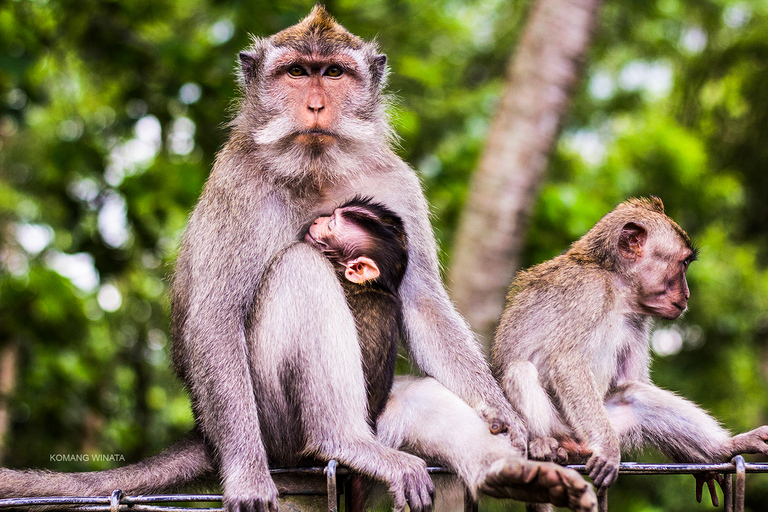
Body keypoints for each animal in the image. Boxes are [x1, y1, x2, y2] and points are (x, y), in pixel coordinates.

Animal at [492, 198, 768, 506]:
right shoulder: (589, 292)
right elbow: (566, 364)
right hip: (569, 425)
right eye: (683, 263)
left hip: (597, 426)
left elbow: (629, 381)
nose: (687, 295)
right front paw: (609, 449)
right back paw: (544, 442)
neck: (617, 286)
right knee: (519, 370)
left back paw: (725, 447)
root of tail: (576, 441)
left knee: (635, 395)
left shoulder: (638, 319)